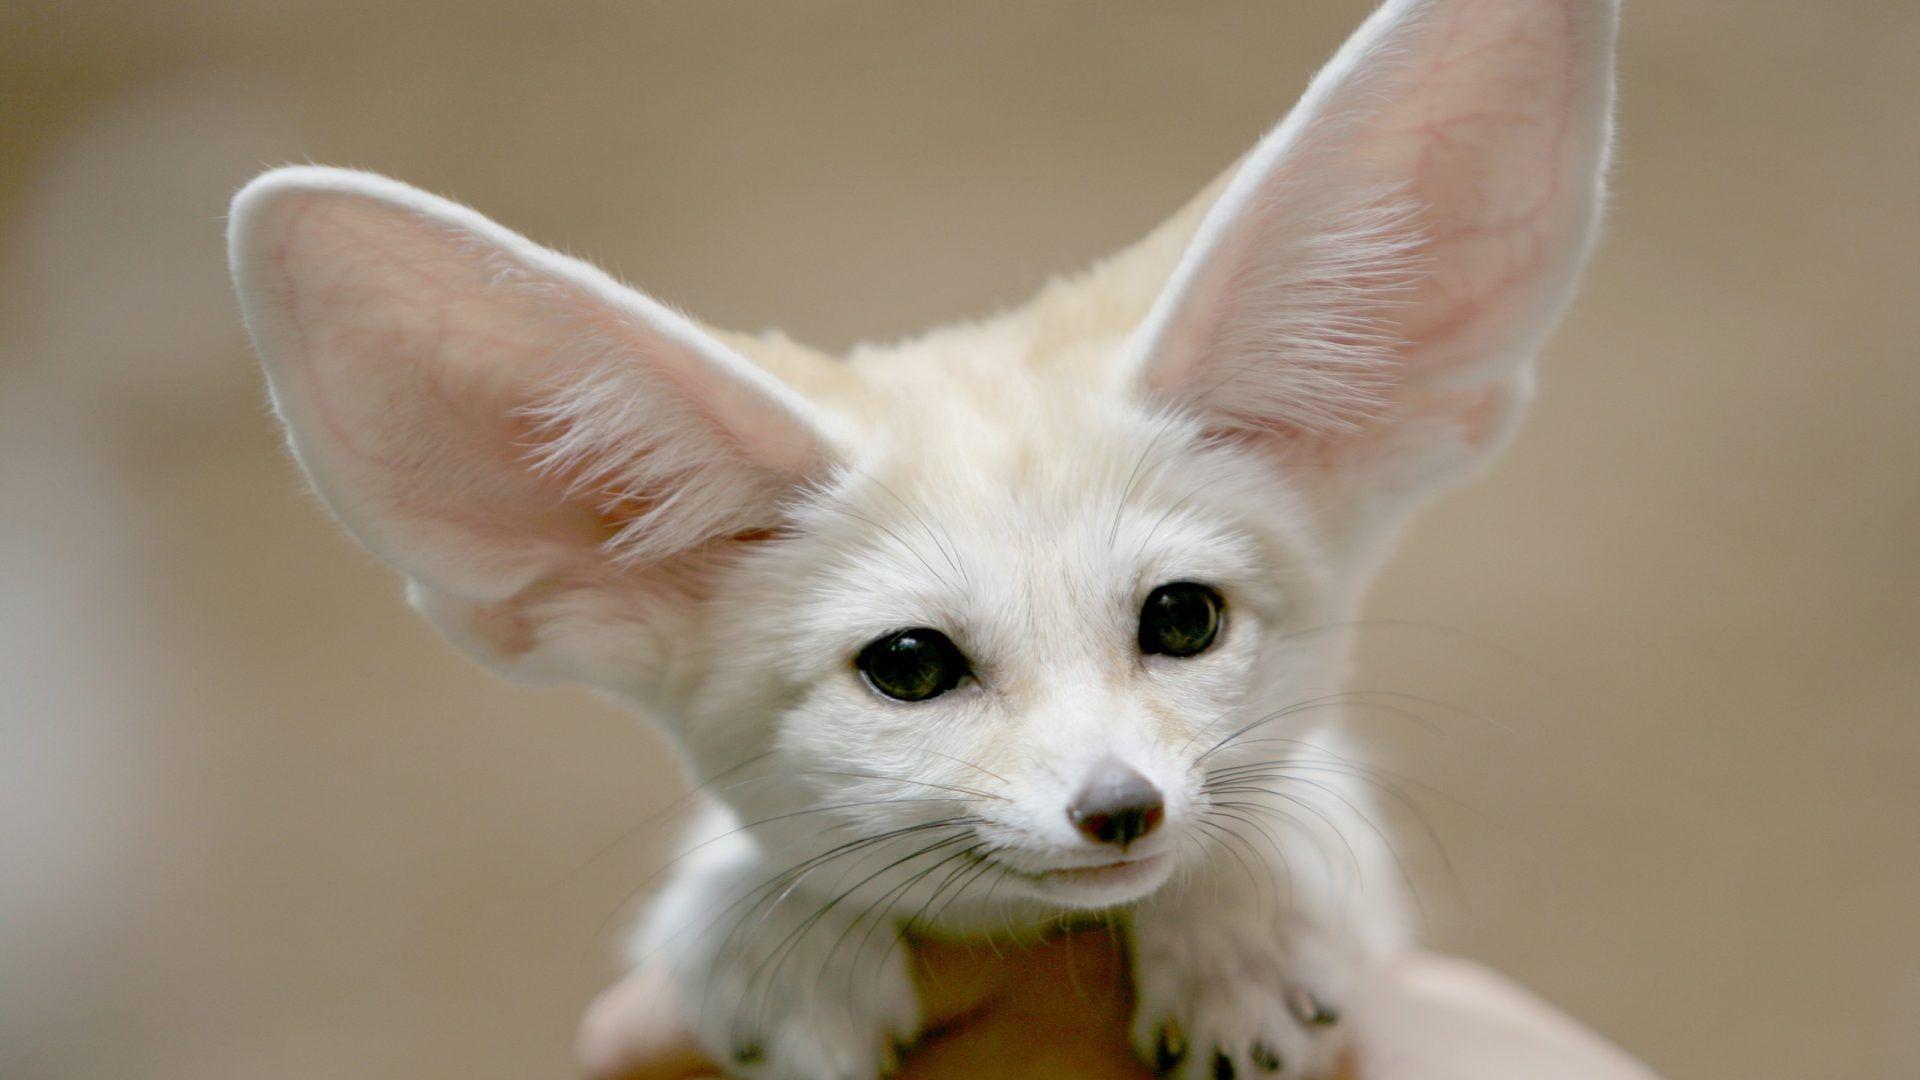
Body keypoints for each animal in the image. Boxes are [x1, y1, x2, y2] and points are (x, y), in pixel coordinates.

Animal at [226, 0, 1617, 1076]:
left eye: (1182, 618)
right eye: (908, 666)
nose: (1121, 809)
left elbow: (1296, 805)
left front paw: (1239, 929)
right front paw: (766, 937)